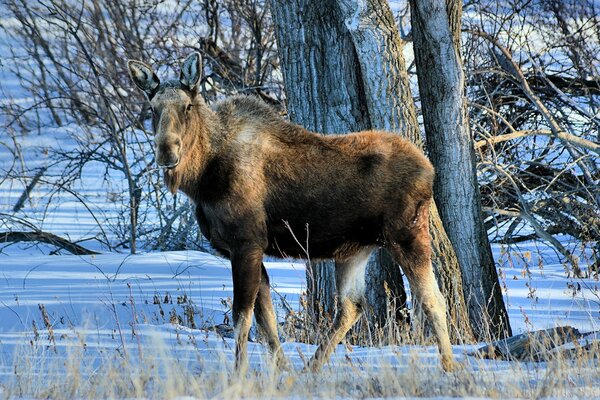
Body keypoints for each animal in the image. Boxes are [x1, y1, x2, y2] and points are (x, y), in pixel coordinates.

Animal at [127, 52, 454, 372]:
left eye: (187, 106)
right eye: (153, 108)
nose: (167, 152)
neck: (202, 179)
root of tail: (429, 169)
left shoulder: (246, 242)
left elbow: (242, 317)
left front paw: (239, 375)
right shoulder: (247, 248)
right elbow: (266, 318)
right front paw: (283, 371)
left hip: (407, 234)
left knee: (433, 299)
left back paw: (450, 366)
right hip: (356, 249)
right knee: (352, 306)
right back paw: (311, 368)